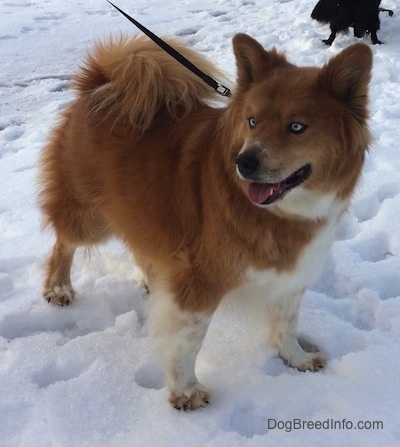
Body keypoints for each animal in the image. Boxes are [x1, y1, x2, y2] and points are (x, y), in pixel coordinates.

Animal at [39, 34, 374, 412]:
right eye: (252, 121)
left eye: (297, 127)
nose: (245, 162)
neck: (279, 212)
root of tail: (99, 82)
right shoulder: (200, 279)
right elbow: (188, 341)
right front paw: (186, 391)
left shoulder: (289, 279)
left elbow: (286, 323)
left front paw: (296, 357)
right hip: (91, 217)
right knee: (64, 243)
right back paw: (58, 288)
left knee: (140, 246)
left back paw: (153, 280)